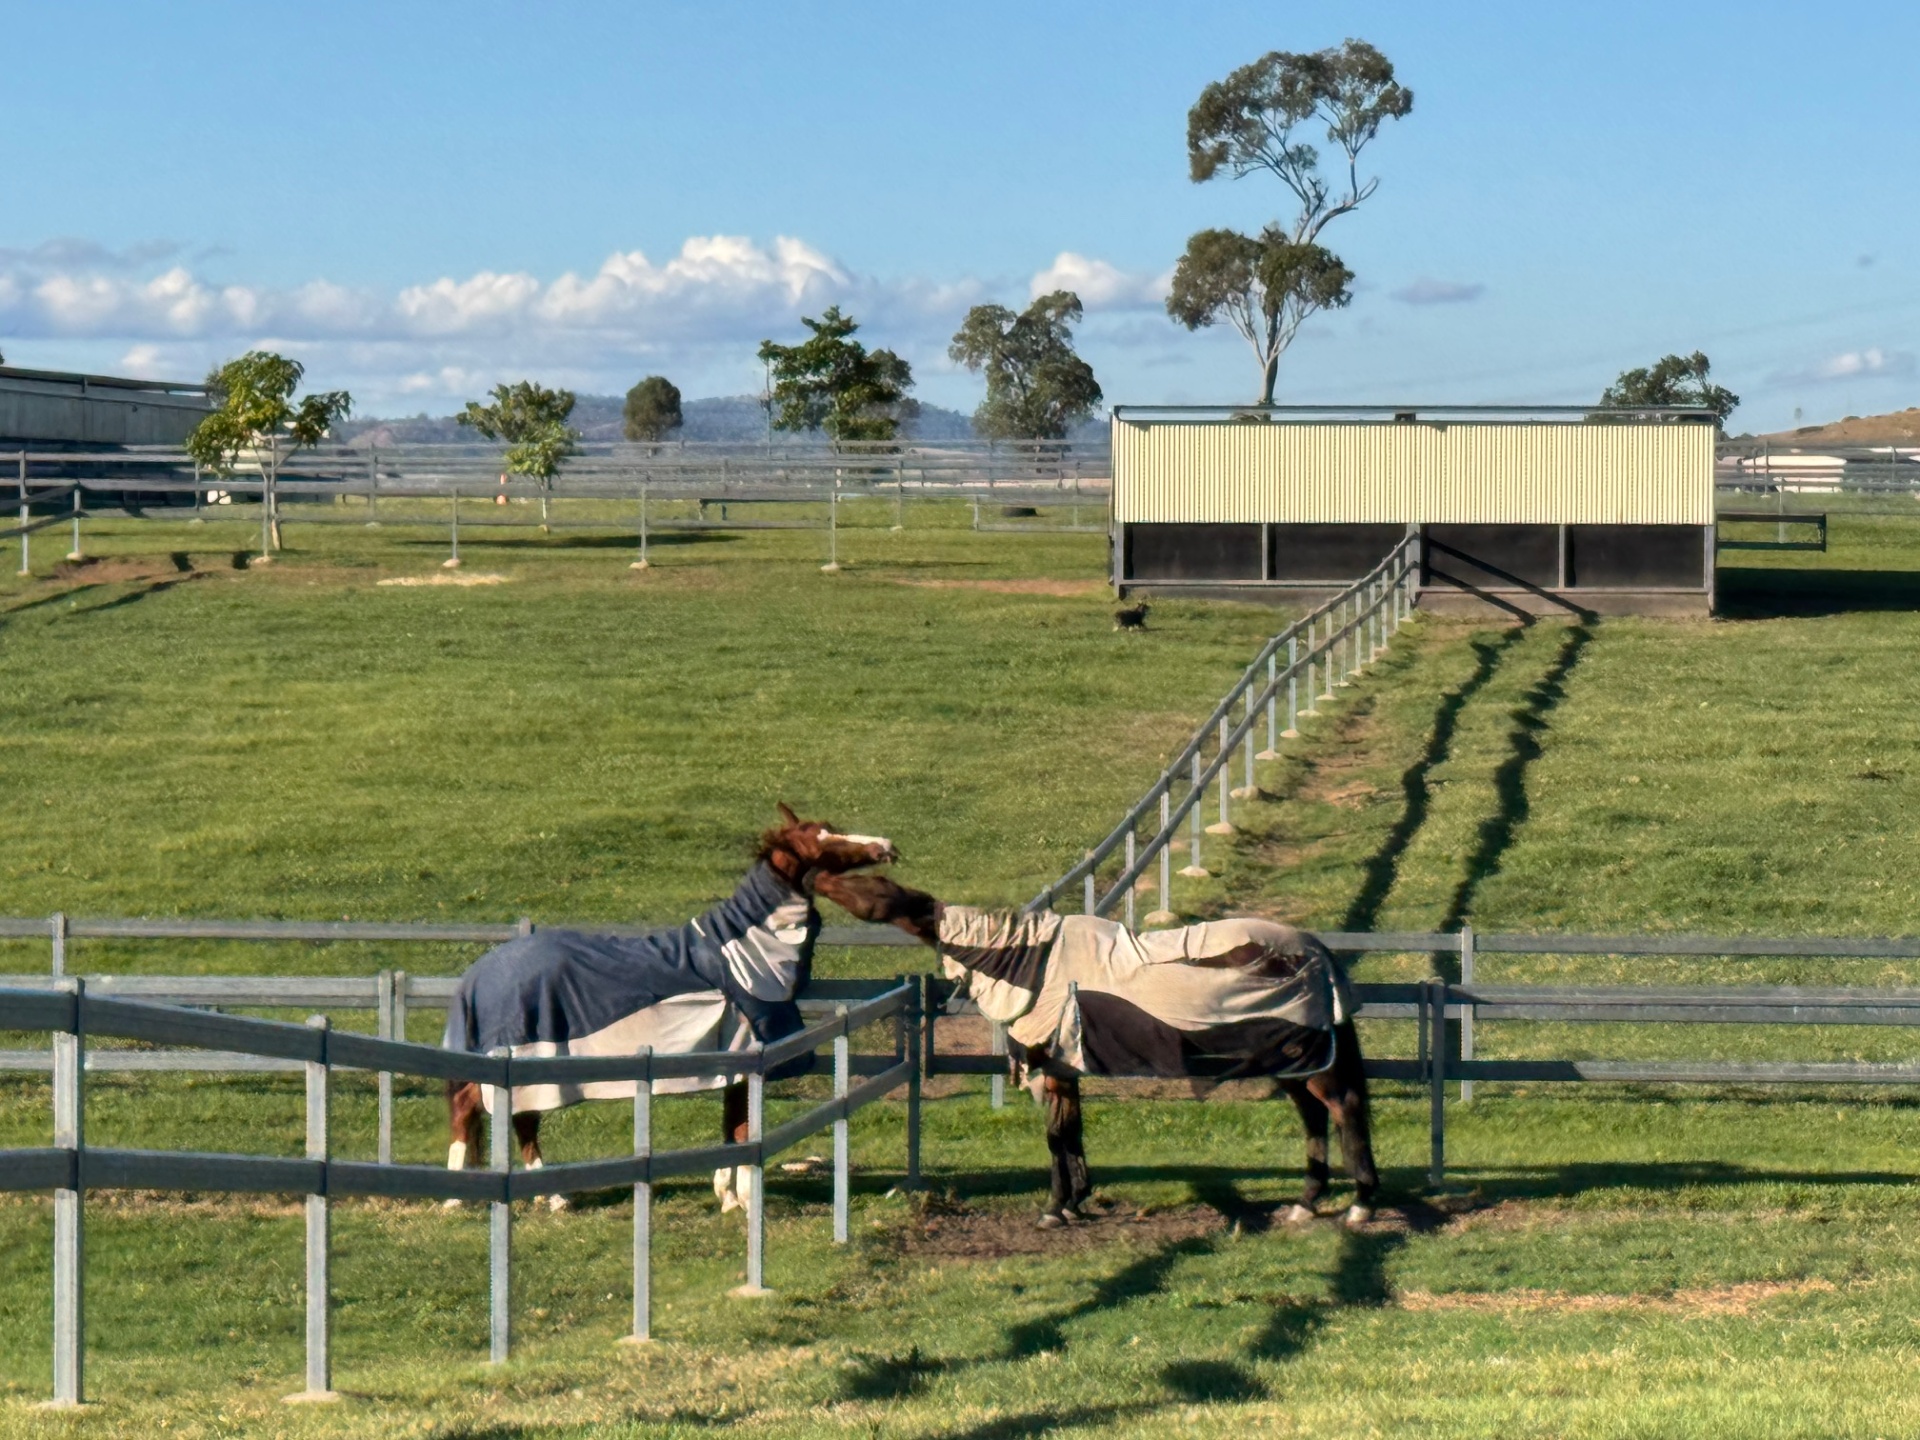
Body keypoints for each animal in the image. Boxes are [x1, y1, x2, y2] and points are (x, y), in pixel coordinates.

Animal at [442, 804, 898, 1212]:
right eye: (822, 840)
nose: (887, 845)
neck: (742, 952)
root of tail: (479, 973)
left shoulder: (732, 1065)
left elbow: (731, 1128)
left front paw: (728, 1197)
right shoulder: (744, 1057)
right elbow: (742, 1129)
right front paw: (744, 1200)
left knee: (503, 1117)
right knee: (492, 1115)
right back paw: (491, 1198)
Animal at [814, 872, 1379, 1229]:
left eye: (865, 882)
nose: (814, 879)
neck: (1031, 960)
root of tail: (1317, 952)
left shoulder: (1049, 1069)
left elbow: (1055, 1138)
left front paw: (1055, 1208)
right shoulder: (1063, 1071)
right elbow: (1071, 1134)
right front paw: (1076, 1201)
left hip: (1310, 1063)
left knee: (1343, 1109)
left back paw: (1360, 1205)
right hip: (1292, 1065)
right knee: (1315, 1118)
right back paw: (1306, 1203)